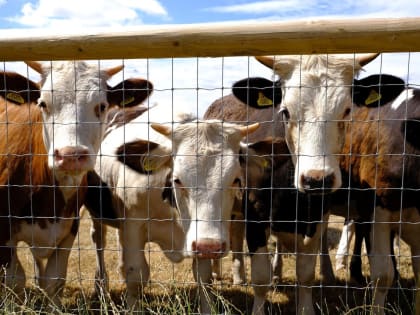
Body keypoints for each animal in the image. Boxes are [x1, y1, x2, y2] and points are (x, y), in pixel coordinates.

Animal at [0, 62, 153, 308]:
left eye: (102, 106)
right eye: (43, 103)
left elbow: (55, 281)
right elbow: (14, 281)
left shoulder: (68, 228)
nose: (71, 155)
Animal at [81, 103, 260, 314]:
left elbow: (204, 279)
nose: (210, 246)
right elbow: (135, 275)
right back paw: (101, 285)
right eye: (177, 179)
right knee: (98, 240)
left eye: (236, 179)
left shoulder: (198, 238)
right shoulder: (133, 227)